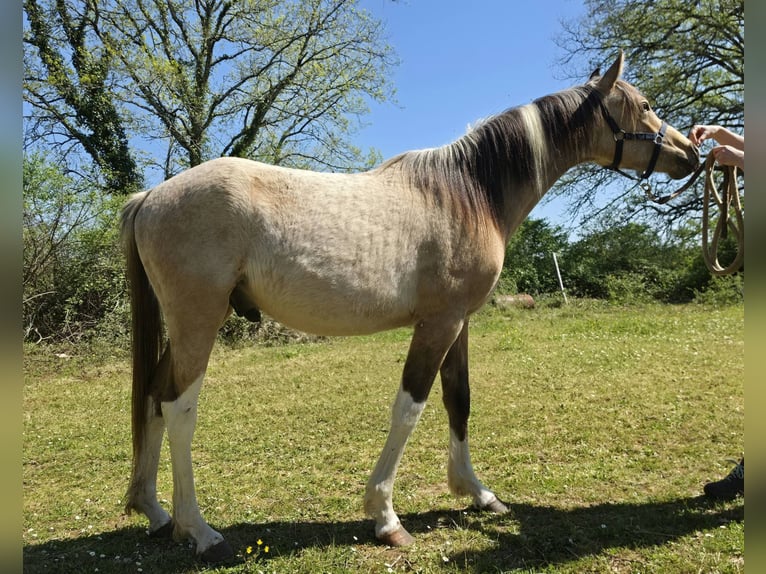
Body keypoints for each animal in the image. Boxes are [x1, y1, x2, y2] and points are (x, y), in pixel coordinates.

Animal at [120, 51, 700, 562]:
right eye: (645, 104)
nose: (689, 152)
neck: (468, 192)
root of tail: (151, 197)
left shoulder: (460, 322)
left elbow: (458, 399)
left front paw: (477, 493)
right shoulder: (438, 323)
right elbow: (410, 407)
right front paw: (385, 516)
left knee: (151, 396)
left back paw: (155, 511)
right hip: (199, 321)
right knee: (178, 407)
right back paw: (199, 530)